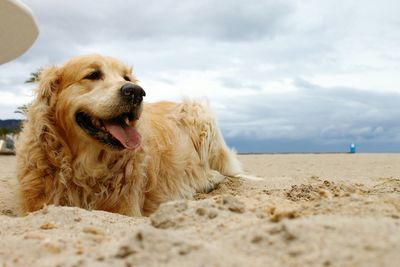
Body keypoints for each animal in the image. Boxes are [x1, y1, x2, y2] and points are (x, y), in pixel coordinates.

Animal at [14, 55, 244, 218]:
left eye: (126, 78)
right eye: (93, 75)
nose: (136, 92)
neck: (87, 168)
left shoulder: (127, 208)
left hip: (200, 114)